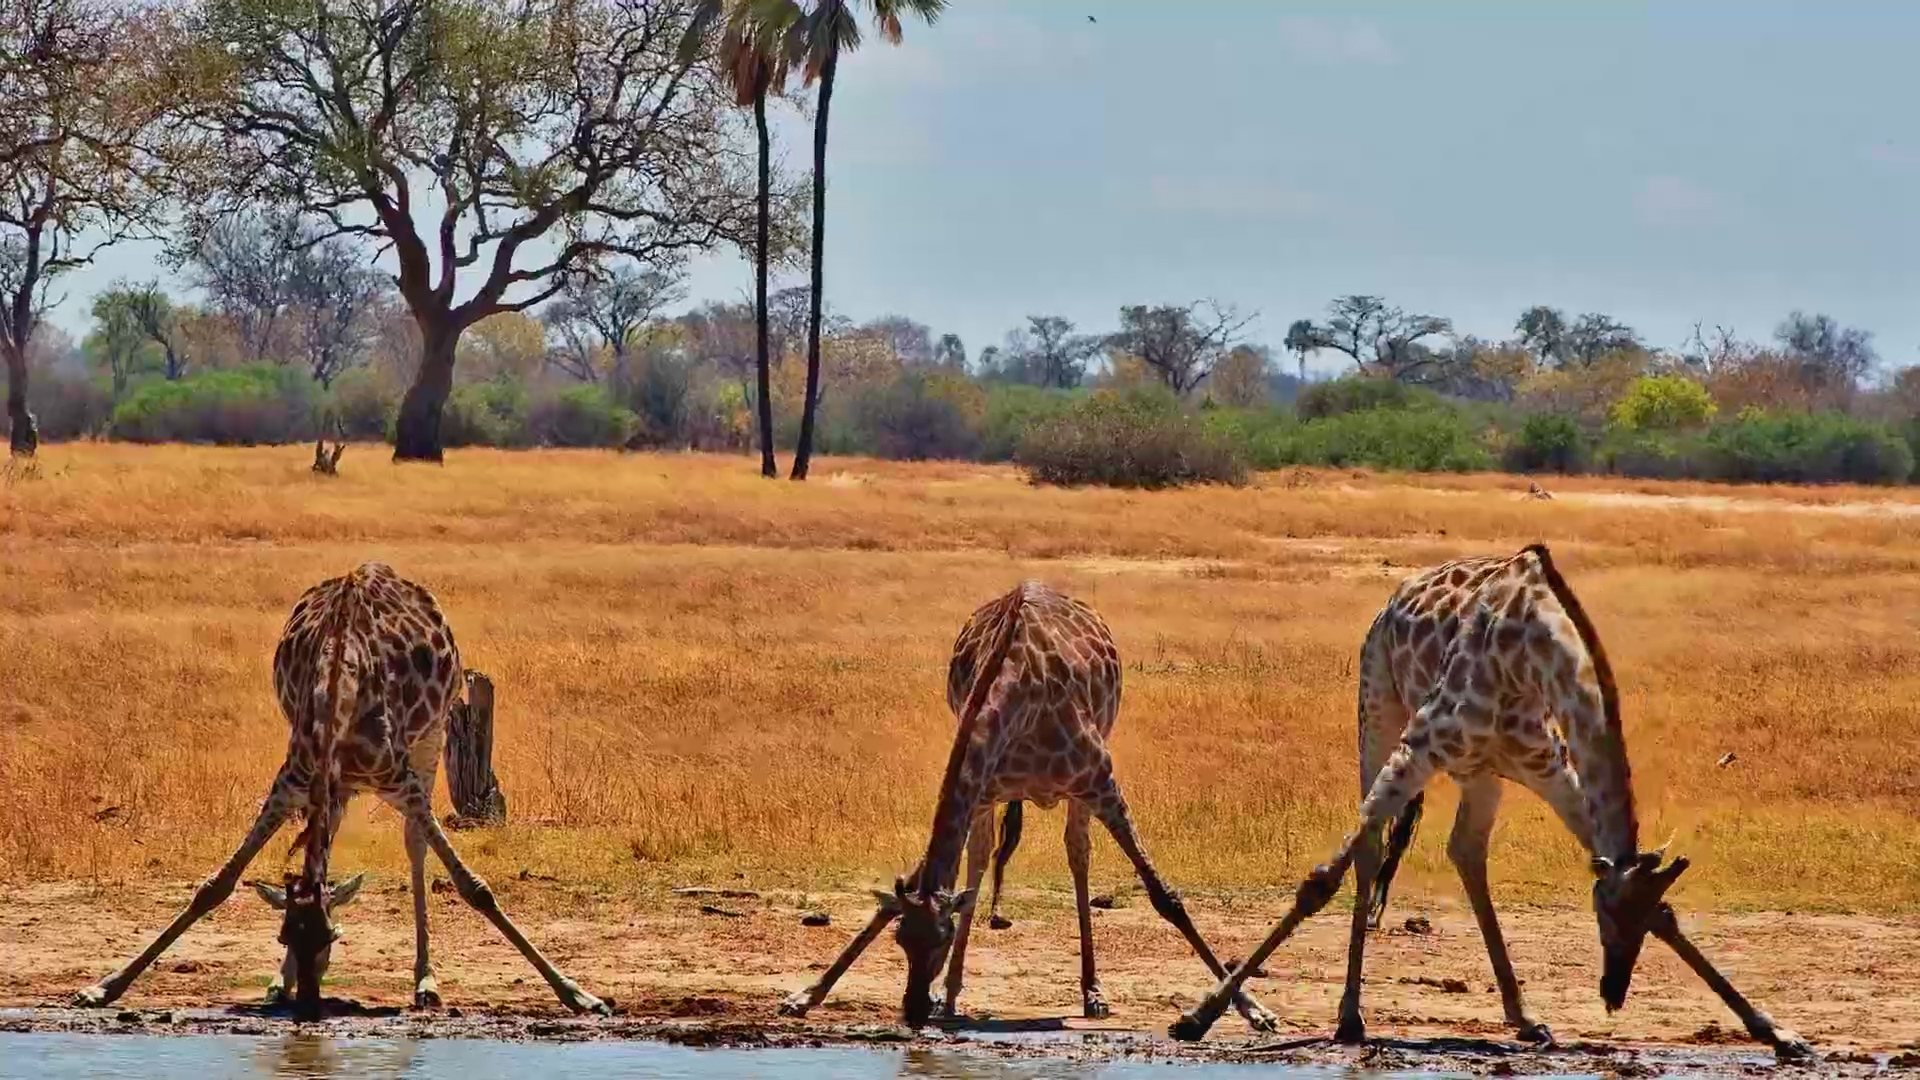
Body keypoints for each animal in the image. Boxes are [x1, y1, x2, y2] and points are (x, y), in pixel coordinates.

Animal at [75, 561, 607, 1019]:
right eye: (284, 939)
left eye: (333, 937)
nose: (307, 1009)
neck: (338, 691)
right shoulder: (291, 780)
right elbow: (215, 886)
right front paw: (102, 987)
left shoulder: (398, 779)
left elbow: (474, 887)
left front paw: (579, 994)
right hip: (337, 785)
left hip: (431, 737)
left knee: (414, 843)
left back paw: (425, 981)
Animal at [777, 580, 1278, 1031]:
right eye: (902, 940)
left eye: (941, 937)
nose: (914, 1009)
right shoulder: (980, 786)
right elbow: (909, 891)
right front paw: (805, 995)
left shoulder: (1099, 780)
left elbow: (1164, 896)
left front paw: (1252, 1009)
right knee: (981, 860)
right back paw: (953, 994)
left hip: (1085, 779)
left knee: (1077, 855)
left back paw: (1092, 993)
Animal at [1169, 544, 1810, 1059]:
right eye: (1605, 912)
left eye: (1638, 920)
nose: (1612, 993)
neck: (1528, 654)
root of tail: (1395, 597)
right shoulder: (1422, 740)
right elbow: (1320, 879)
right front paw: (1199, 1016)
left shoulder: (1549, 766)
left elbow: (1666, 908)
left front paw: (1779, 1033)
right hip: (1378, 711)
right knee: (1372, 851)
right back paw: (1351, 1020)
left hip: (1482, 771)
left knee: (1465, 852)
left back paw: (1524, 1019)